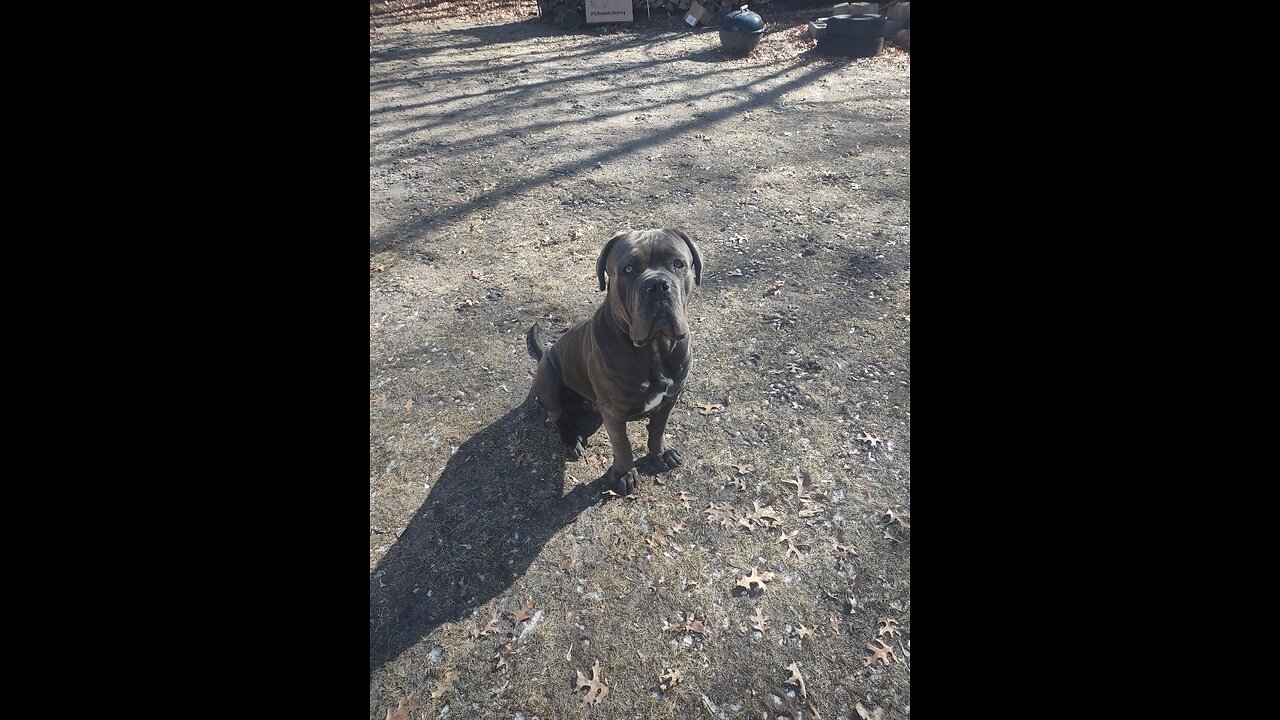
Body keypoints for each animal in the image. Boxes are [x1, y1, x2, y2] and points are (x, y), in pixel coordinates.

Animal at [527, 228, 706, 491]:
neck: (653, 348)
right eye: (628, 269)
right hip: (549, 379)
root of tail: (546, 352)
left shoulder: (670, 398)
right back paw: (571, 440)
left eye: (678, 264)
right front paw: (624, 473)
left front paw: (661, 453)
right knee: (557, 416)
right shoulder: (613, 412)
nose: (657, 284)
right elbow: (622, 444)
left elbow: (658, 428)